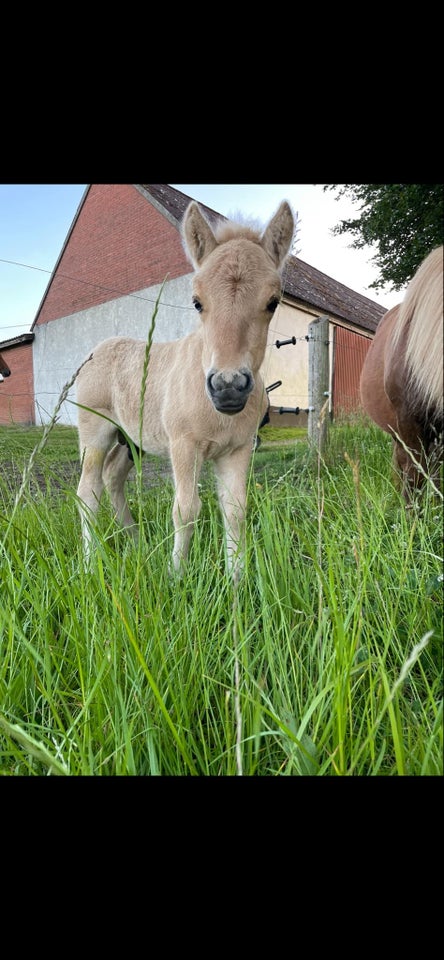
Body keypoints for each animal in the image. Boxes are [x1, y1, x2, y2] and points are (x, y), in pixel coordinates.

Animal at [75, 197, 294, 576]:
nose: (228, 387)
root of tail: (97, 350)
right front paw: (176, 574)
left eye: (272, 302)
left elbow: (235, 512)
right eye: (197, 302)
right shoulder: (183, 445)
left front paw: (237, 581)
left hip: (131, 439)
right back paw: (91, 563)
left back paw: (137, 543)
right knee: (88, 491)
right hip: (95, 432)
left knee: (113, 477)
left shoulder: (238, 449)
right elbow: (186, 510)